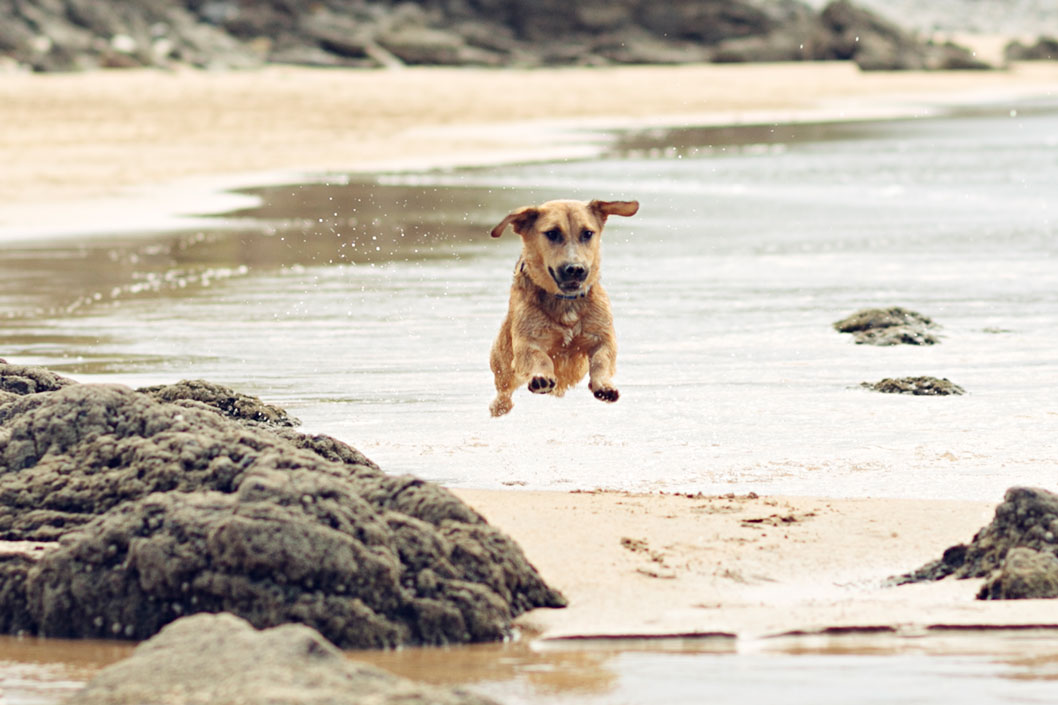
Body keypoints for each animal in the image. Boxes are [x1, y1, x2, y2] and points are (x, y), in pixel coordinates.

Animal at [484, 197, 634, 414]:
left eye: (587, 233)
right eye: (552, 233)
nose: (576, 269)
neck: (565, 302)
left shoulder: (603, 337)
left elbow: (602, 359)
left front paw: (604, 386)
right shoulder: (526, 342)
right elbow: (539, 357)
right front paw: (542, 377)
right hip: (502, 360)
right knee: (504, 389)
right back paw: (499, 406)